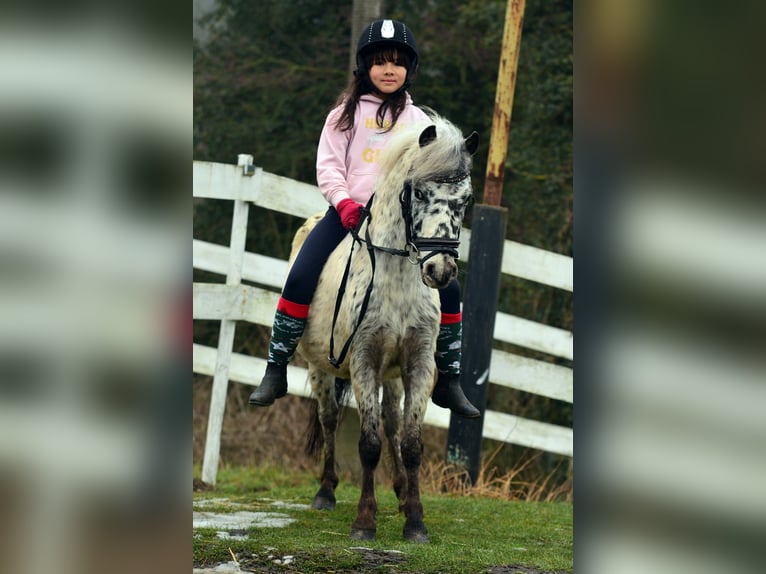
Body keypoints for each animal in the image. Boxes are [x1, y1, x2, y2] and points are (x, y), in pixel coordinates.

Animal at [292, 113, 478, 543]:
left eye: (465, 200)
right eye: (419, 192)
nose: (440, 271)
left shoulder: (418, 364)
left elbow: (410, 443)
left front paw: (416, 520)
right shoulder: (363, 361)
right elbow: (368, 444)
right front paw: (364, 522)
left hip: (392, 374)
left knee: (392, 423)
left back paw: (400, 492)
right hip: (321, 368)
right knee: (329, 419)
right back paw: (325, 492)